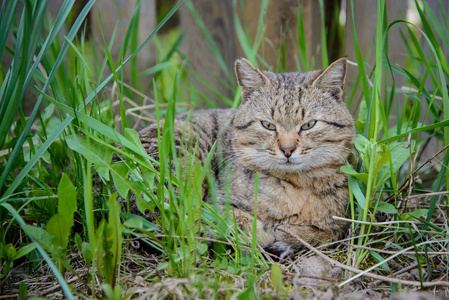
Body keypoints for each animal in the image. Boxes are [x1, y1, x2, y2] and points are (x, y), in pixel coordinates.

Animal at [136, 58, 354, 255]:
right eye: (268, 125)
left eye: (309, 125)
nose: (287, 150)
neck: (297, 185)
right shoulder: (215, 201)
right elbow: (236, 219)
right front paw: (266, 235)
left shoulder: (340, 222)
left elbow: (322, 233)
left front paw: (289, 233)